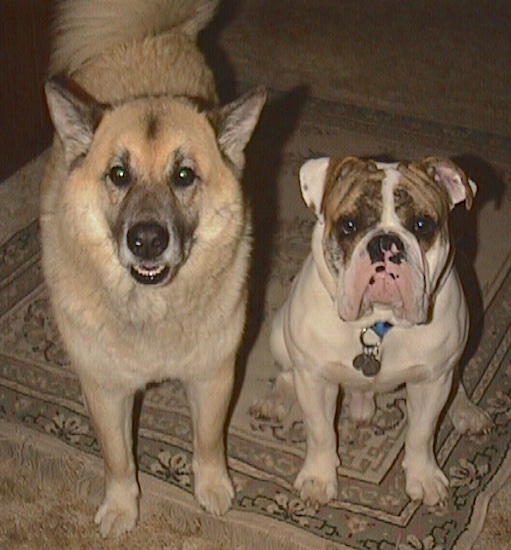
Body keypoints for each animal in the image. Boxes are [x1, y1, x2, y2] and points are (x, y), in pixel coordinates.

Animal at [254, 155, 494, 508]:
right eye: (349, 225)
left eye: (422, 225)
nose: (385, 243)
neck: (378, 324)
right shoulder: (314, 380)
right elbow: (320, 432)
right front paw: (318, 478)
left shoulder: (432, 381)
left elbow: (422, 433)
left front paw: (423, 477)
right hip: (278, 336)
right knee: (286, 372)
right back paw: (275, 400)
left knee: (458, 379)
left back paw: (466, 411)